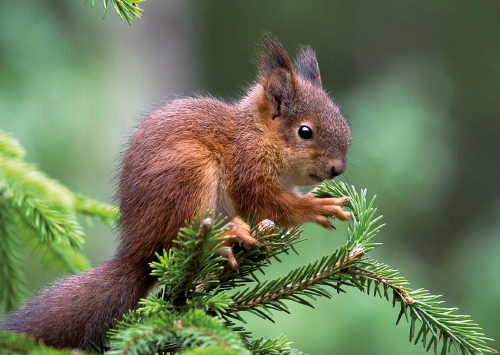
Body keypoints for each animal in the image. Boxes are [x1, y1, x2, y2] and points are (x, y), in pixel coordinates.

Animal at [0, 34, 352, 352]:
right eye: (305, 132)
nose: (338, 169)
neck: (258, 134)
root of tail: (138, 250)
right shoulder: (247, 168)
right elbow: (267, 204)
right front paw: (317, 206)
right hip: (188, 173)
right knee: (178, 241)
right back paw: (225, 237)